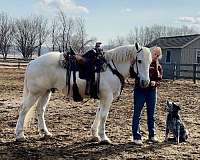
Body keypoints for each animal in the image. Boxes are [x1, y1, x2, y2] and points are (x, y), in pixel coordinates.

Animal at [15, 42, 152, 144]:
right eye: (139, 61)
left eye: (150, 62)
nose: (145, 82)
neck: (112, 67)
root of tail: (32, 62)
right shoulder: (107, 97)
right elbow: (104, 116)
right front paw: (104, 138)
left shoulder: (103, 98)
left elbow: (98, 114)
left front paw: (94, 135)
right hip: (35, 93)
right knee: (24, 109)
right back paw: (20, 135)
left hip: (45, 92)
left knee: (40, 109)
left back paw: (45, 133)